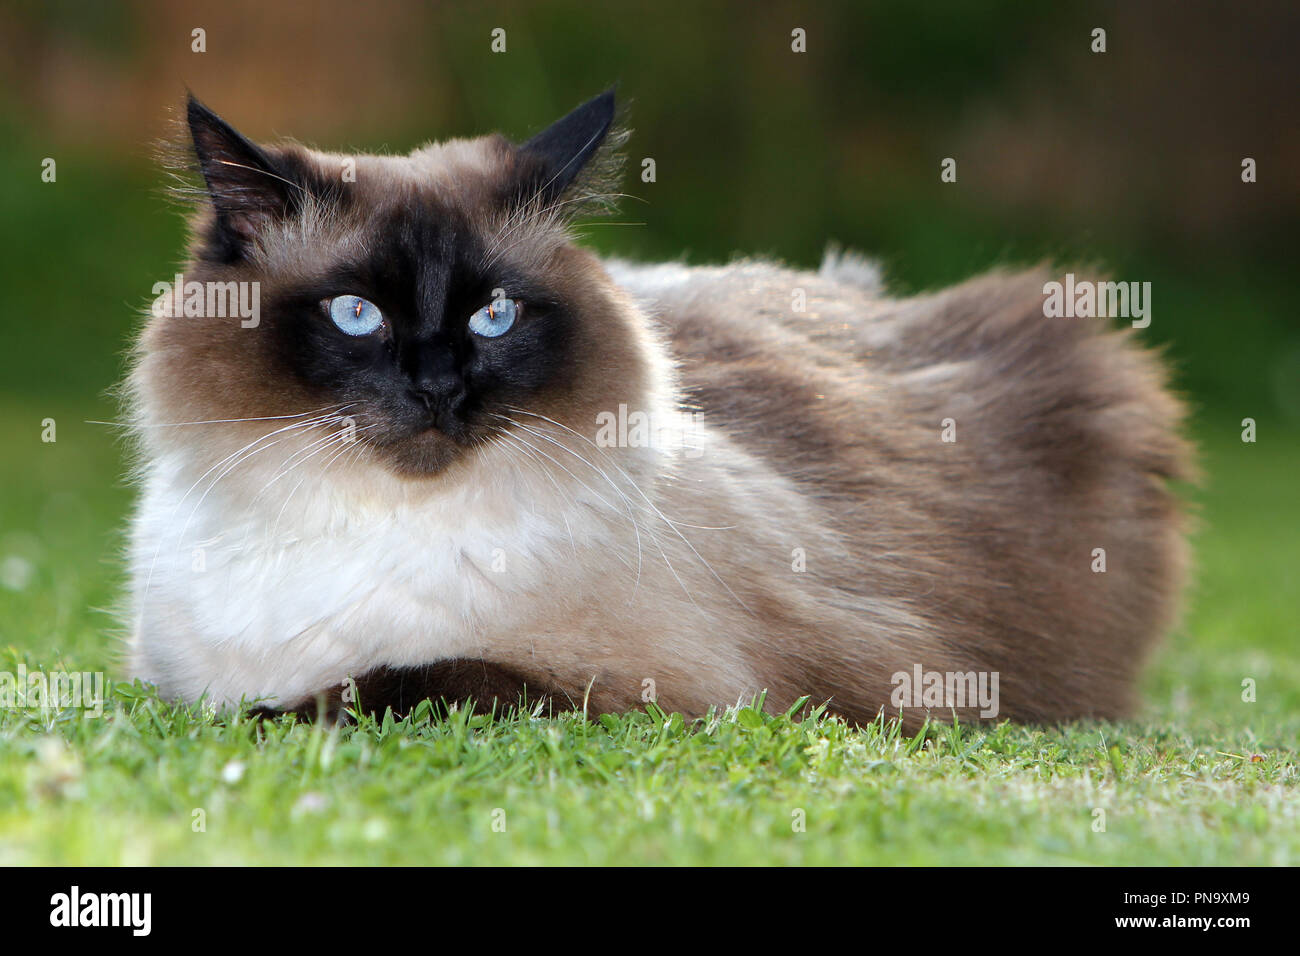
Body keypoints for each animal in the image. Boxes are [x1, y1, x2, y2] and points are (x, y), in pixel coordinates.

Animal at [122, 93, 1190, 728]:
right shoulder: (160, 670)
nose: (437, 390)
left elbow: (410, 676)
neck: (362, 528)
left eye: (493, 314)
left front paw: (267, 719)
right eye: (358, 315)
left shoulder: (692, 695)